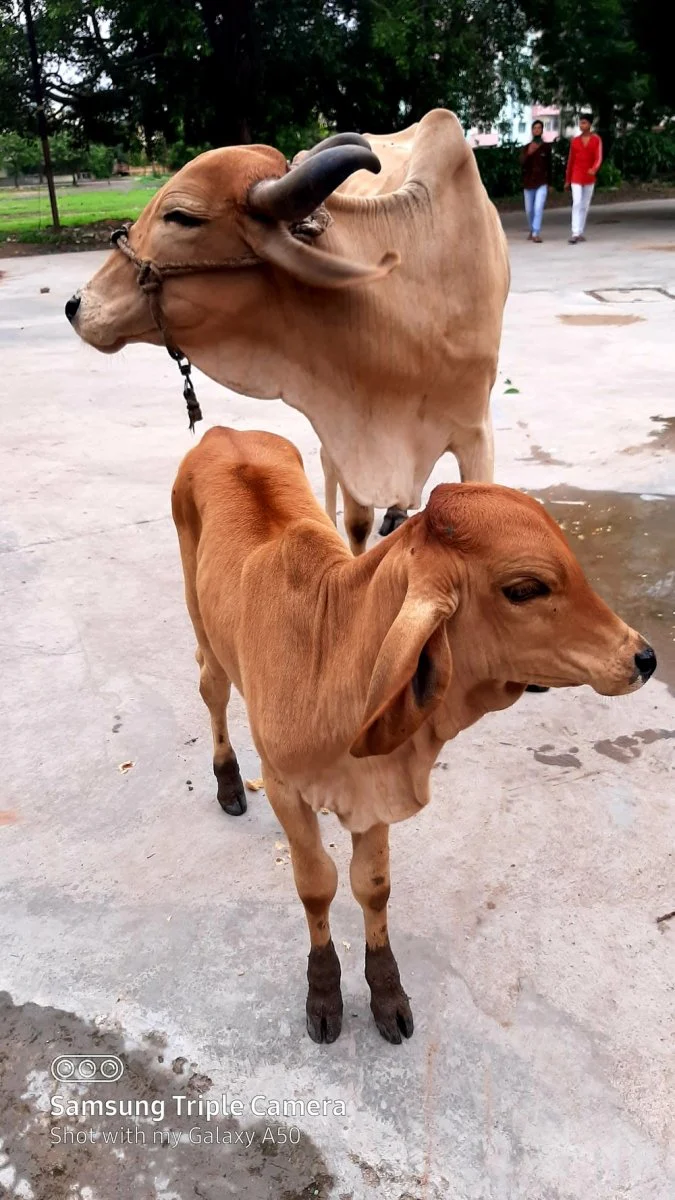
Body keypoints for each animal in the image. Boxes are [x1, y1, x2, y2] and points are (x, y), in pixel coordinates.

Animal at [171, 425, 656, 1044]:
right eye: (525, 589)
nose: (644, 657)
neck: (327, 652)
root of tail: (221, 431)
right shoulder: (284, 787)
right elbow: (316, 884)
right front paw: (323, 992)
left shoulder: (376, 784)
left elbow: (373, 885)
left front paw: (387, 993)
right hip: (202, 630)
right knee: (211, 692)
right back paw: (228, 783)